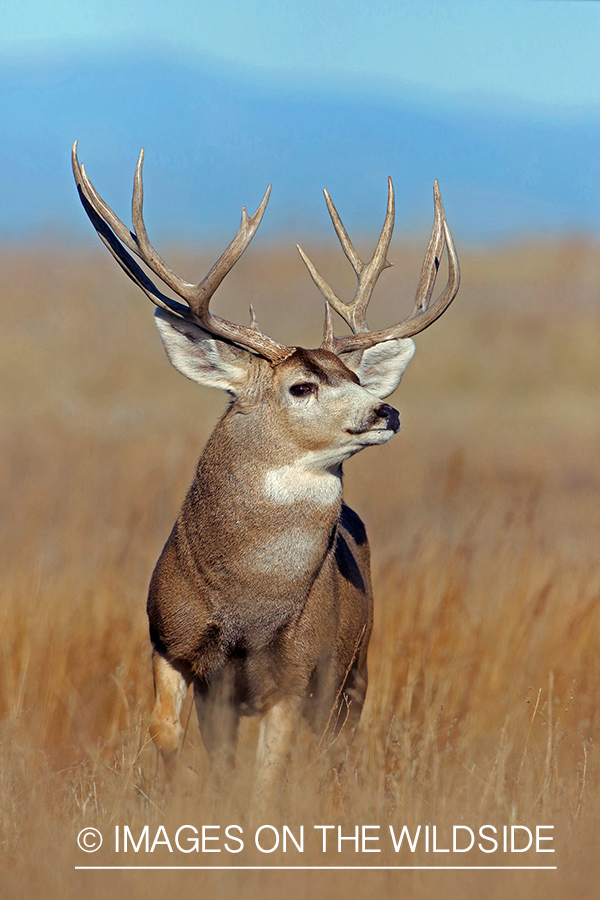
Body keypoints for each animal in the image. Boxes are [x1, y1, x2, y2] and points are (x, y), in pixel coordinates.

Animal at [72, 142, 462, 800]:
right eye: (301, 386)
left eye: (355, 378)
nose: (386, 409)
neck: (247, 611)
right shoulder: (170, 641)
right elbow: (167, 734)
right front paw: (184, 793)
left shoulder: (295, 674)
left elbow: (267, 781)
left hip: (354, 669)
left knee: (335, 747)